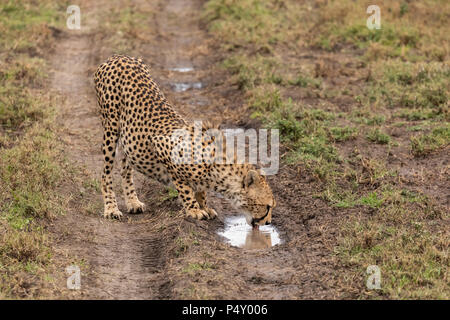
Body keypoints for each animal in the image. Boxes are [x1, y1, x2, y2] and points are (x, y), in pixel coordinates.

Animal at [92, 53, 274, 226]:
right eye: (267, 207)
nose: (268, 222)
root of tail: (118, 56)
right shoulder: (165, 150)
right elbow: (185, 189)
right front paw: (194, 210)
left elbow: (200, 191)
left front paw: (205, 207)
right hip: (110, 129)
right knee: (106, 173)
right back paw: (111, 209)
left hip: (128, 139)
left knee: (126, 168)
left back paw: (132, 202)